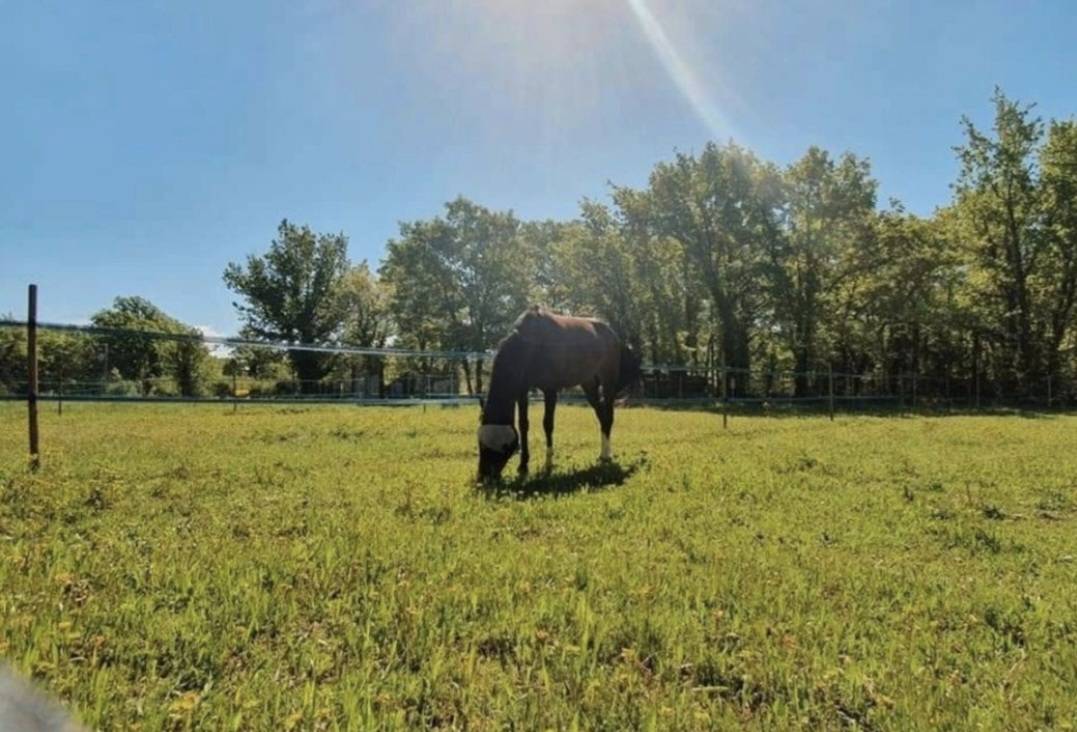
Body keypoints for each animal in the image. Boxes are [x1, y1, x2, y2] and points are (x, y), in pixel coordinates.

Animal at [477, 306, 641, 481]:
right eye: (480, 444)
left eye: (500, 448)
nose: (482, 477)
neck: (531, 343)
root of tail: (614, 336)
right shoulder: (522, 390)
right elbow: (523, 424)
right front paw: (523, 466)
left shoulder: (550, 390)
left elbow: (547, 424)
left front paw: (548, 464)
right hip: (588, 384)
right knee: (601, 415)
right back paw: (603, 454)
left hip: (608, 380)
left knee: (608, 416)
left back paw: (606, 455)